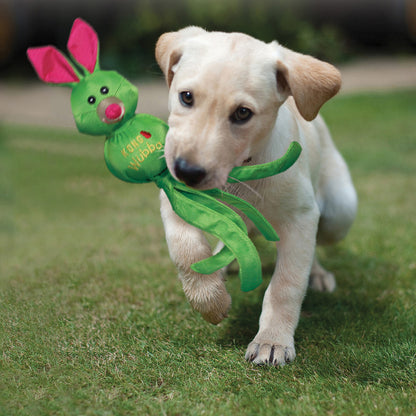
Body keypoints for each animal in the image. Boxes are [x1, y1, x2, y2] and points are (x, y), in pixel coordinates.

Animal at [154, 26, 356, 366]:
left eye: (242, 113)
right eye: (186, 97)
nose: (186, 171)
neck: (241, 171)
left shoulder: (300, 217)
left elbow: (285, 284)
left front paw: (272, 340)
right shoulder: (175, 201)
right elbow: (187, 251)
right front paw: (211, 301)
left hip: (340, 211)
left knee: (316, 243)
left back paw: (317, 274)